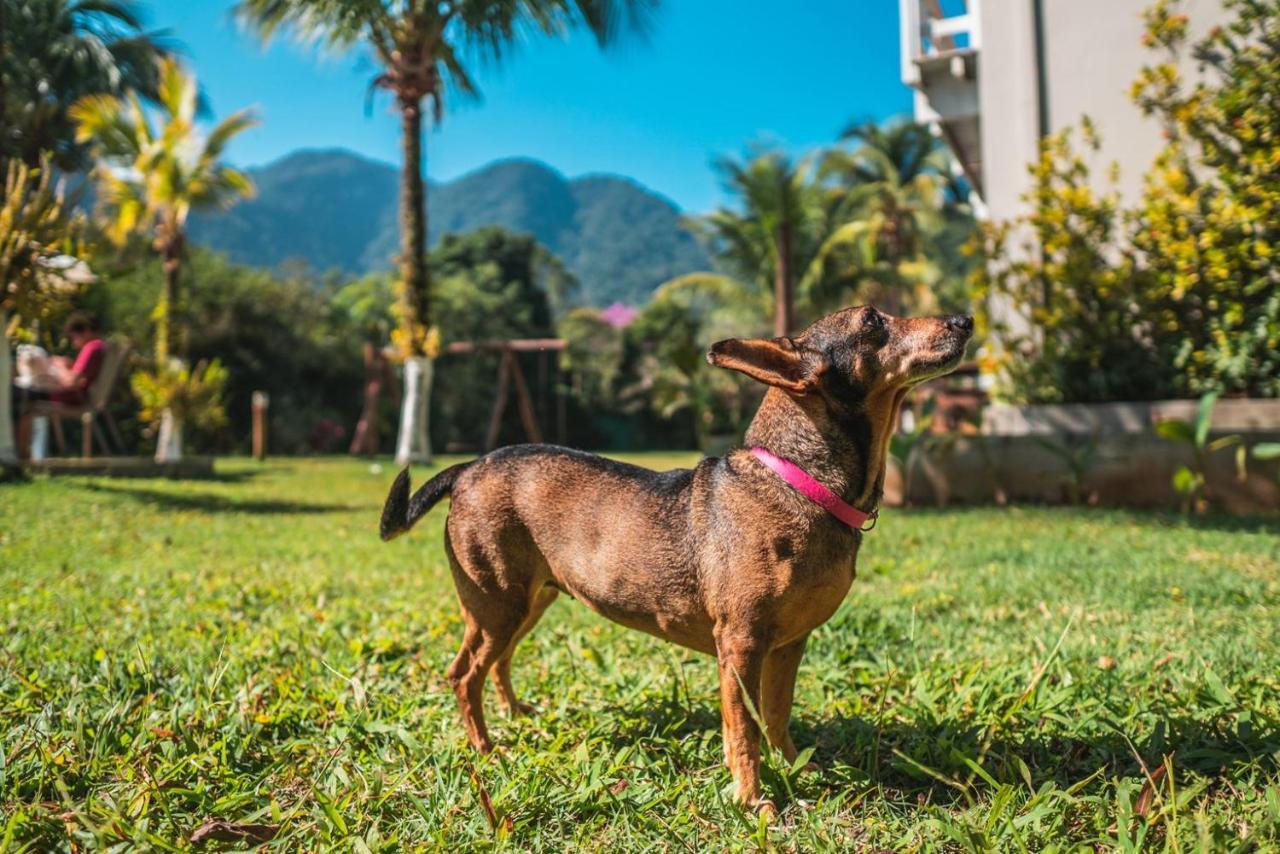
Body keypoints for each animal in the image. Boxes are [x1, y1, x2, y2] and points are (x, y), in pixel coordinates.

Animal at [378, 306, 967, 809]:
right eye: (872, 322)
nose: (965, 320)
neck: (798, 481)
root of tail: (469, 468)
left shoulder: (788, 646)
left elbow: (776, 717)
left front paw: (795, 767)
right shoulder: (741, 646)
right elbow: (743, 729)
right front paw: (753, 799)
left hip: (530, 601)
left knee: (496, 663)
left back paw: (516, 714)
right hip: (495, 604)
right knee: (463, 675)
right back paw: (485, 748)